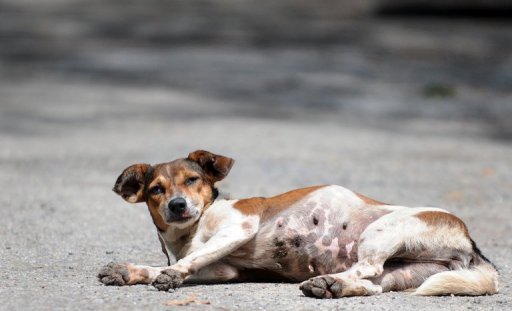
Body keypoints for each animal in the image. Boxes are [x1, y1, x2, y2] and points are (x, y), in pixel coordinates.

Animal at [98, 151, 498, 300]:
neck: (190, 231)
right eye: (156, 189)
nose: (177, 205)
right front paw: (133, 272)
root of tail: (471, 243)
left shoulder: (238, 227)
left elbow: (188, 261)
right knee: (372, 284)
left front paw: (169, 274)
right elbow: (176, 264)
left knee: (367, 268)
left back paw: (330, 279)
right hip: (406, 271)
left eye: (192, 179)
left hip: (382, 232)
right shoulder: (224, 269)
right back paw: (332, 284)